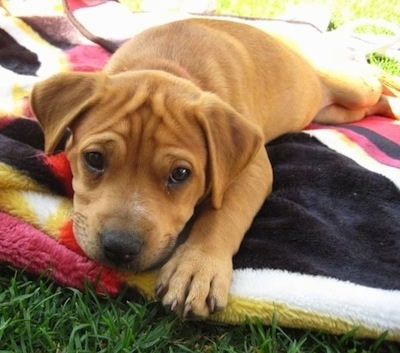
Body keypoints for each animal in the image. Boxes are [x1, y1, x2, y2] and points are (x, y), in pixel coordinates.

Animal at [30, 17, 400, 318]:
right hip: (333, 111)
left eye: (180, 174)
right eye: (94, 159)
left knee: (377, 80)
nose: (120, 249)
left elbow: (224, 214)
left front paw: (197, 269)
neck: (166, 64)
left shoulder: (252, 168)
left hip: (350, 85)